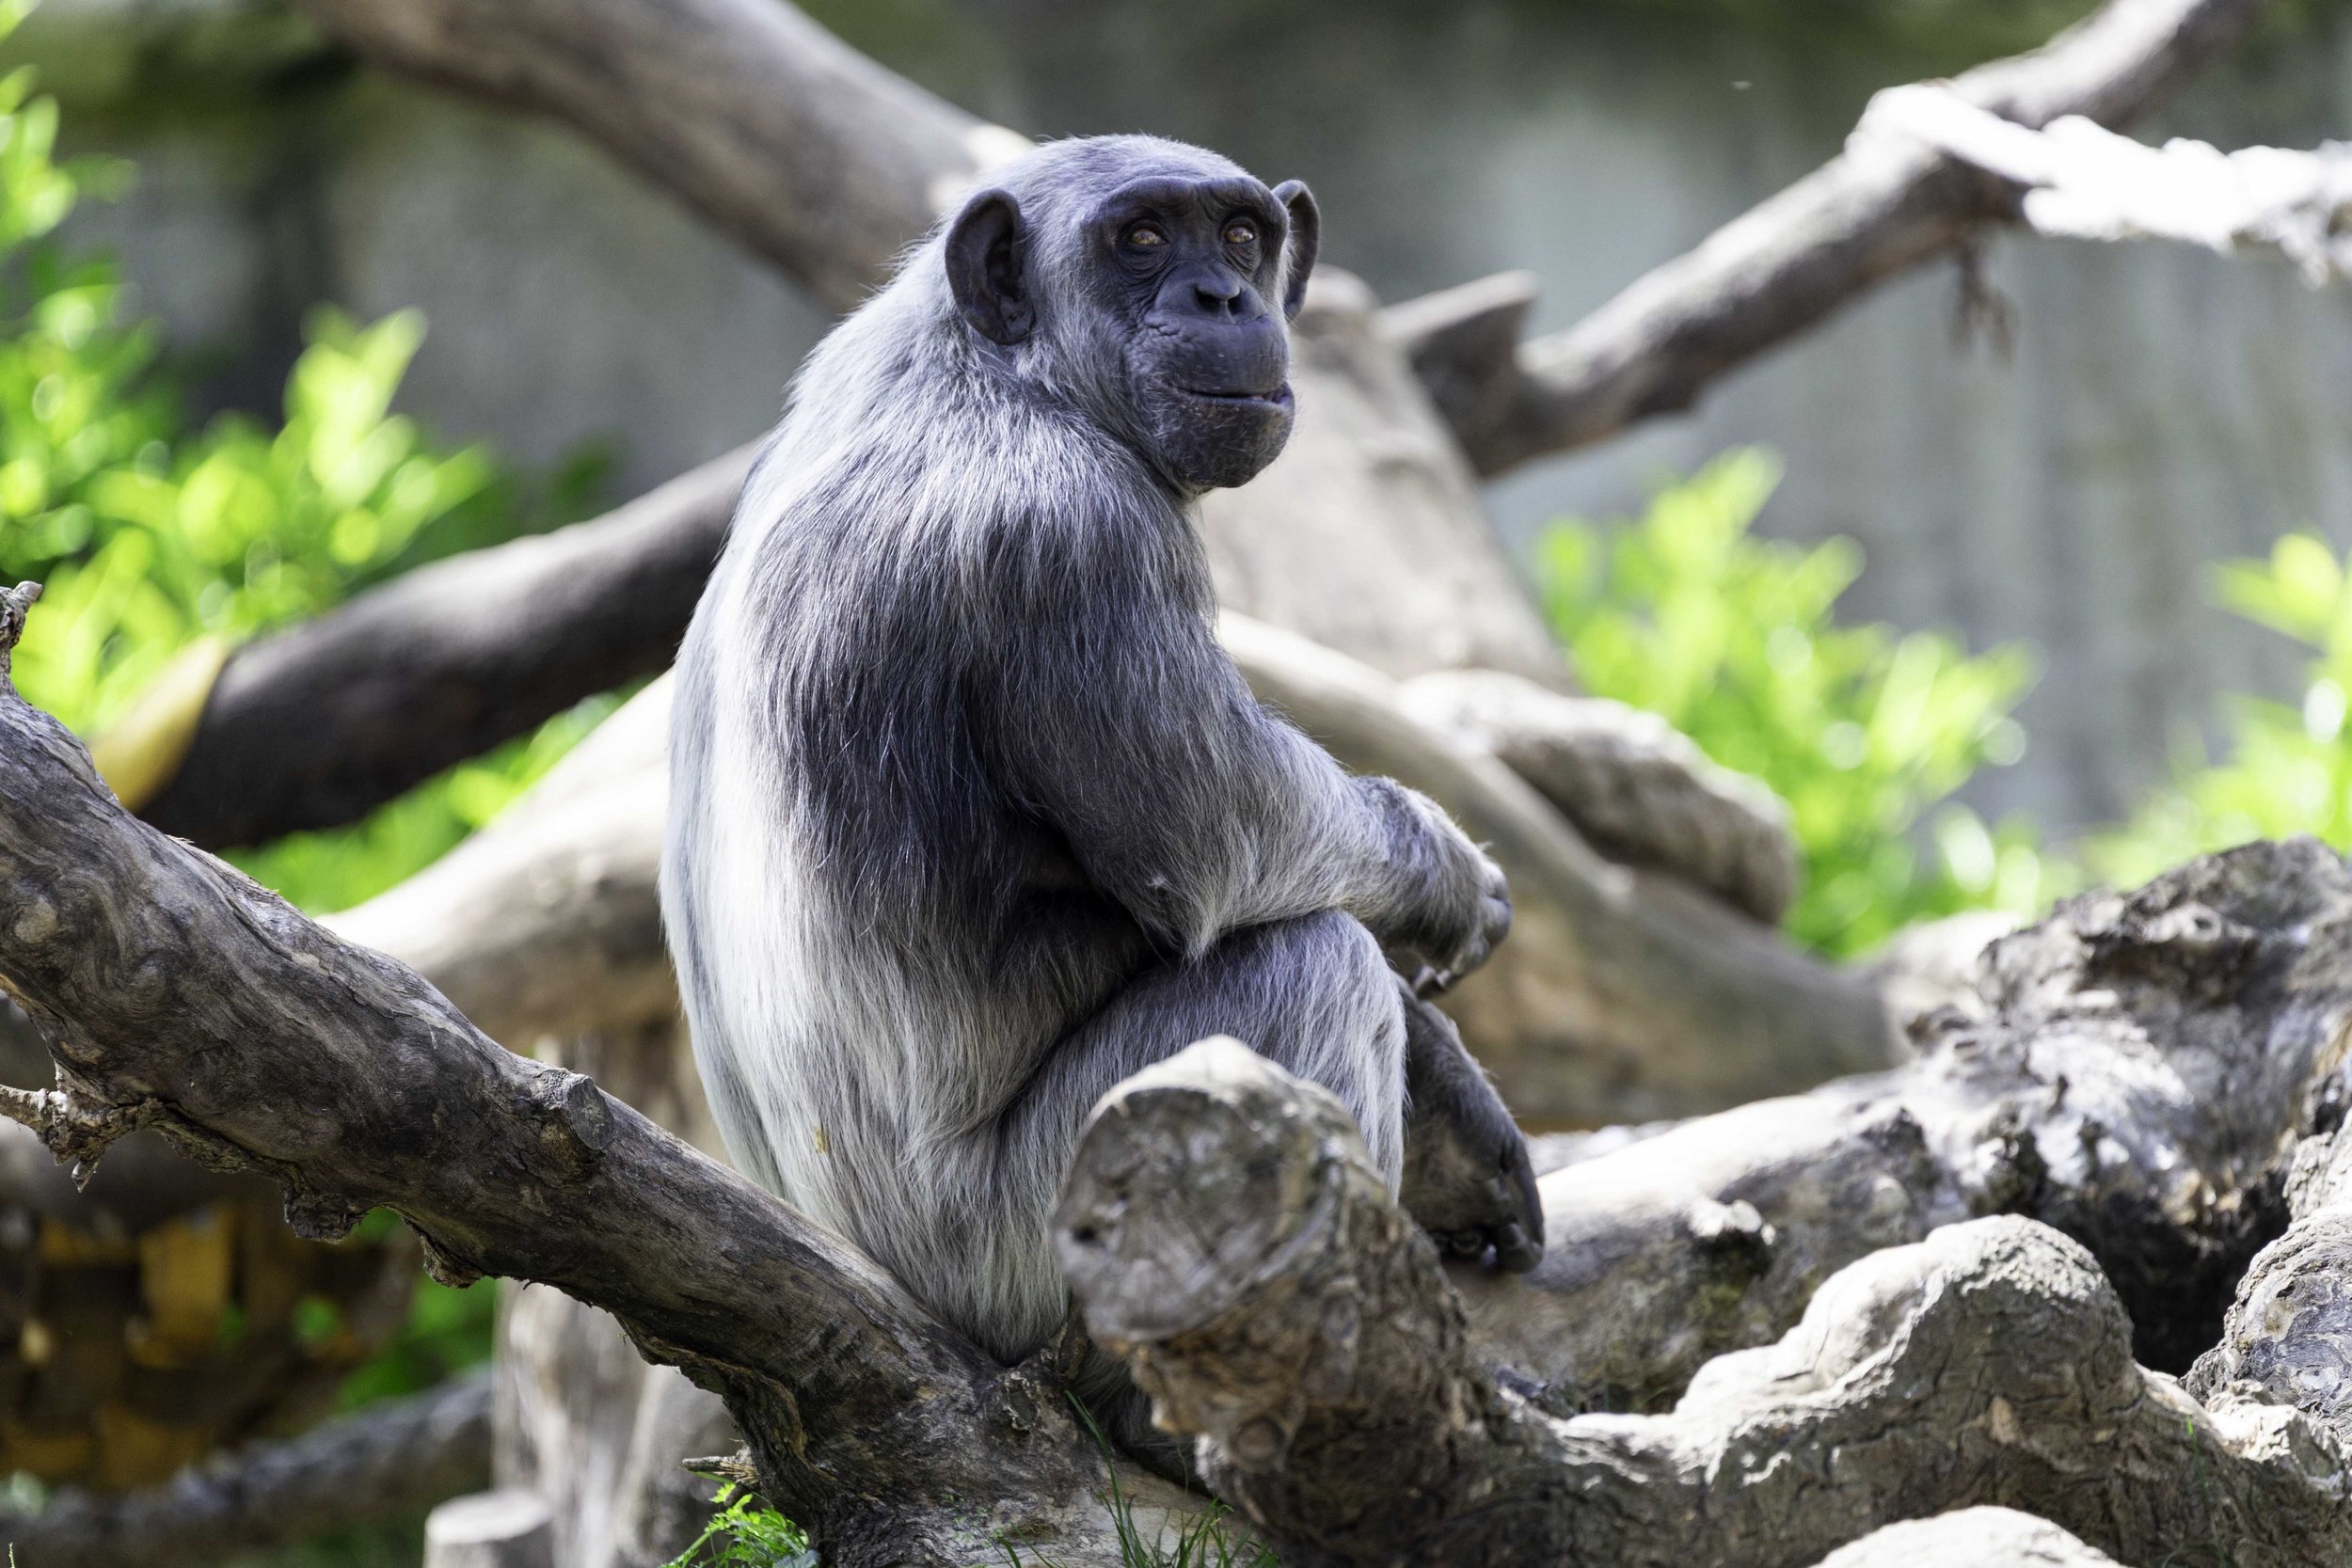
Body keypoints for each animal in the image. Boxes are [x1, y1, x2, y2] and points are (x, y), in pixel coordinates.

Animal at [661, 134, 1543, 1455]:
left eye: (1241, 235)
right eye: (1139, 239)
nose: (1221, 297)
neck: (998, 373)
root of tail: (900, 1298)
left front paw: (1456, 1108)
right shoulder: (1073, 536)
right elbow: (1226, 822)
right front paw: (1444, 873)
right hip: (1026, 1249)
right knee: (1309, 967)